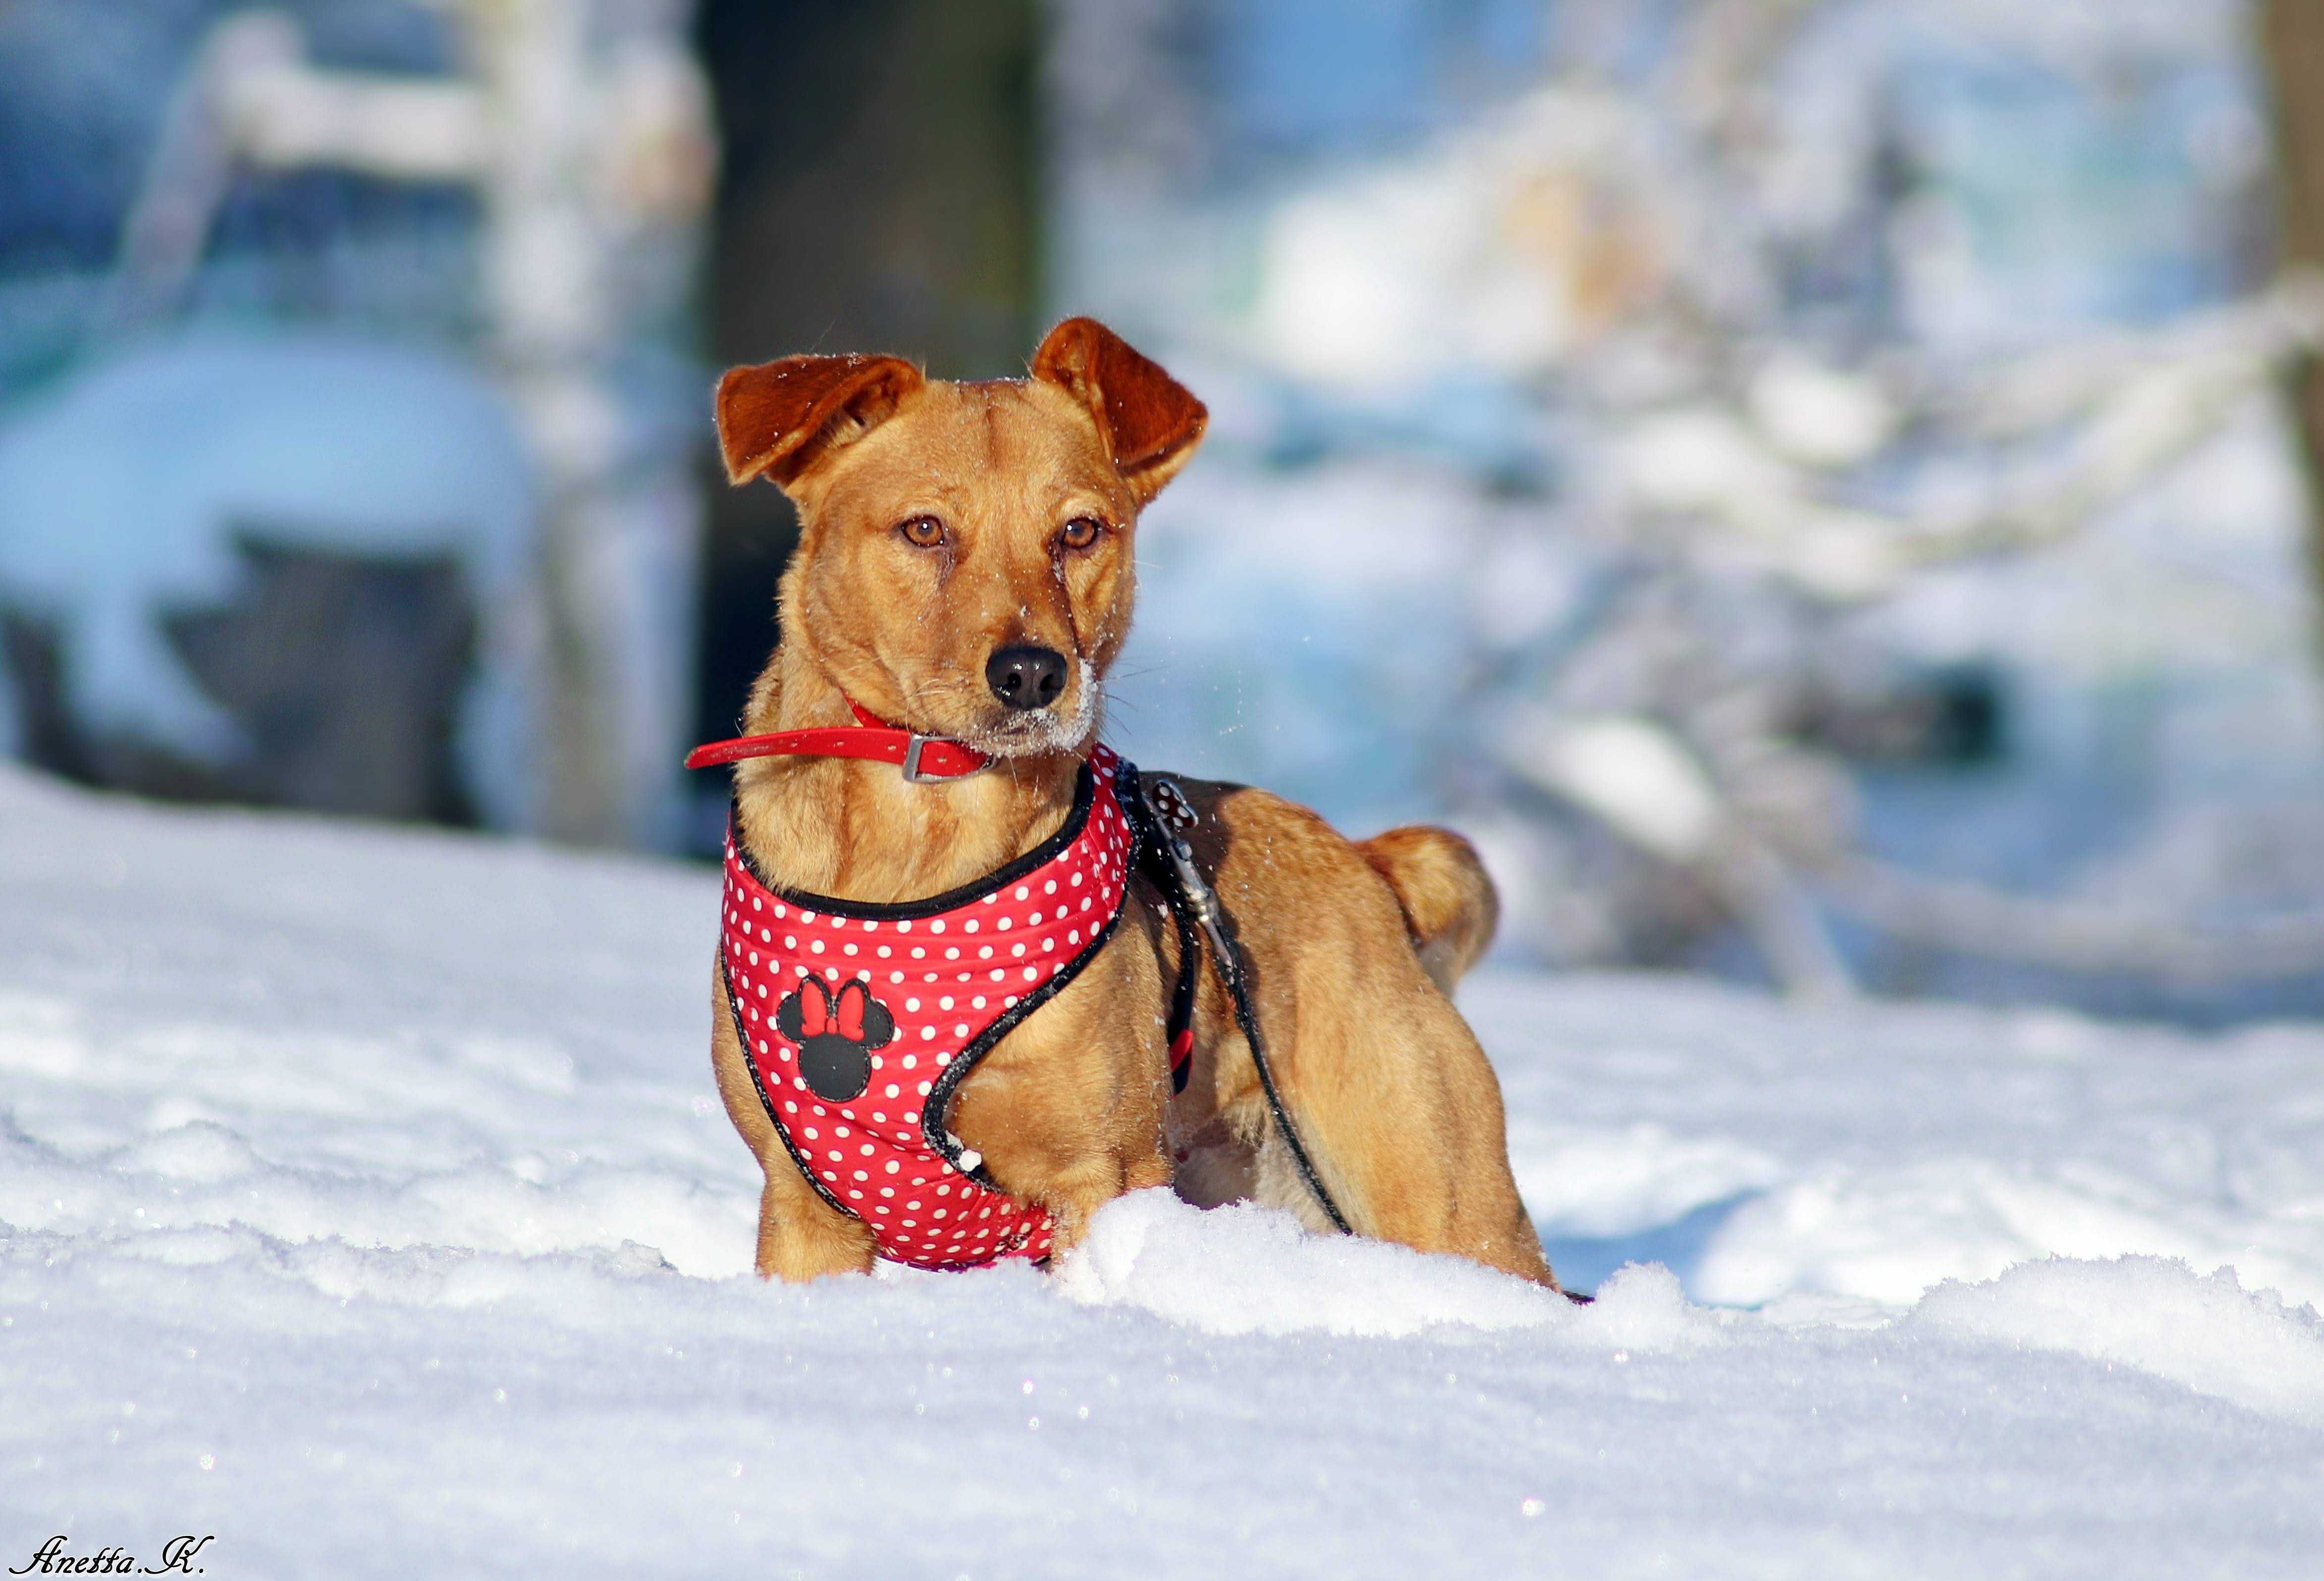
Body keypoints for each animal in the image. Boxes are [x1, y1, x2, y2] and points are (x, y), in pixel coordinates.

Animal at [697, 314, 1552, 1293]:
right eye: (923, 529)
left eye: (1078, 531)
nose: (1032, 672)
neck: (919, 852)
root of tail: (1367, 865)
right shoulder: (804, 1207)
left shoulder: (1103, 1175)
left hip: (1441, 1194)